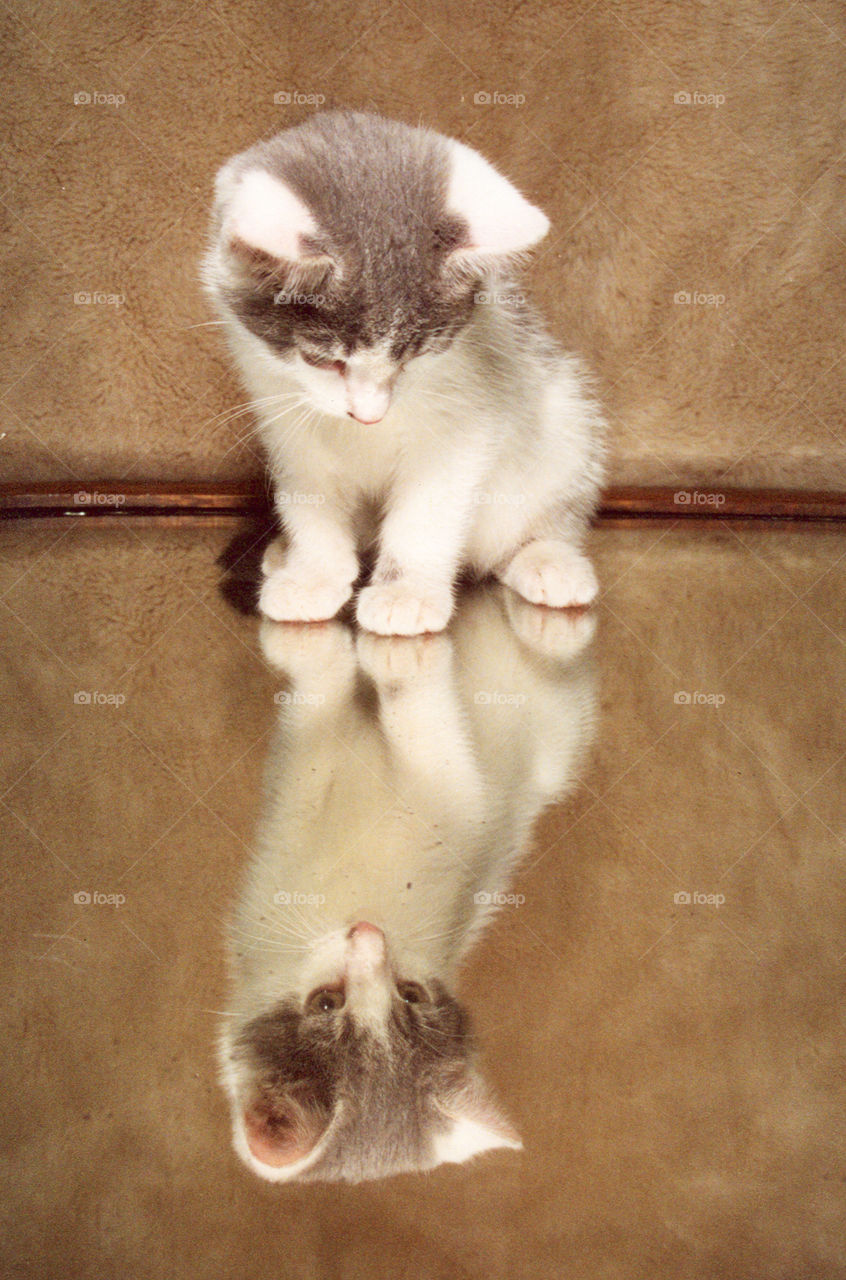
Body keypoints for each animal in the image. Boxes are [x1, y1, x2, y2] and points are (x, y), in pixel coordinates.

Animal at [200, 111, 604, 634]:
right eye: (324, 360)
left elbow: (426, 512)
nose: (369, 415)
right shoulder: (282, 411)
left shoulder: (467, 414)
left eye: (413, 356)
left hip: (564, 419)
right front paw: (313, 574)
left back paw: (548, 560)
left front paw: (406, 592)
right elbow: (311, 497)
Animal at [221, 586, 596, 1182]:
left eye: (410, 994)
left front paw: (393, 660)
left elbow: (417, 732)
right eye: (325, 1004)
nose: (369, 933)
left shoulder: (454, 790)